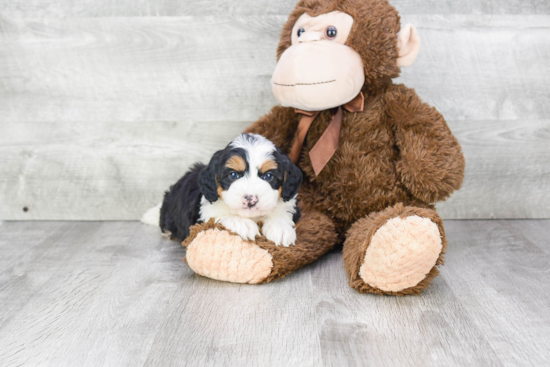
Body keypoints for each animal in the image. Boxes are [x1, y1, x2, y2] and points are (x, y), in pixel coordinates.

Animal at [160, 134, 306, 247]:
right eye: (233, 175)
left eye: (269, 176)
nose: (250, 199)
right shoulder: (202, 214)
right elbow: (219, 216)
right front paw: (242, 224)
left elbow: (283, 213)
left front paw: (281, 229)